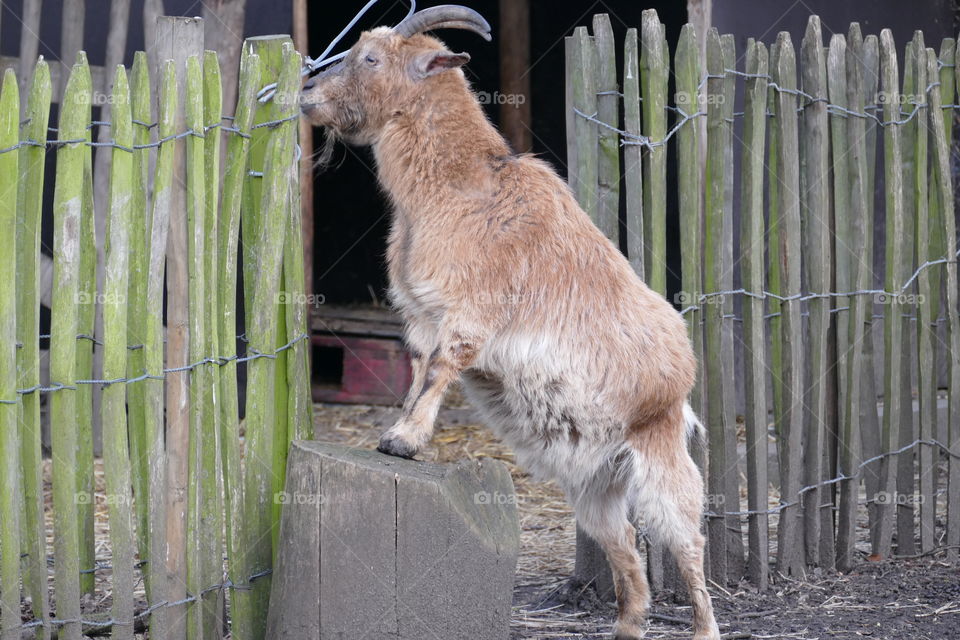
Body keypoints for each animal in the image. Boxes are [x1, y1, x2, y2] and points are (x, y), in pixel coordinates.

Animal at [300, 6, 721, 639]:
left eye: (370, 58)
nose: (307, 96)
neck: (458, 188)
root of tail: (681, 375)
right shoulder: (422, 314)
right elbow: (420, 370)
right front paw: (399, 435)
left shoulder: (472, 310)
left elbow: (443, 368)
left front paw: (403, 442)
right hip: (596, 484)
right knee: (623, 542)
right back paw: (626, 626)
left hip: (661, 455)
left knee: (686, 540)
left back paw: (702, 627)